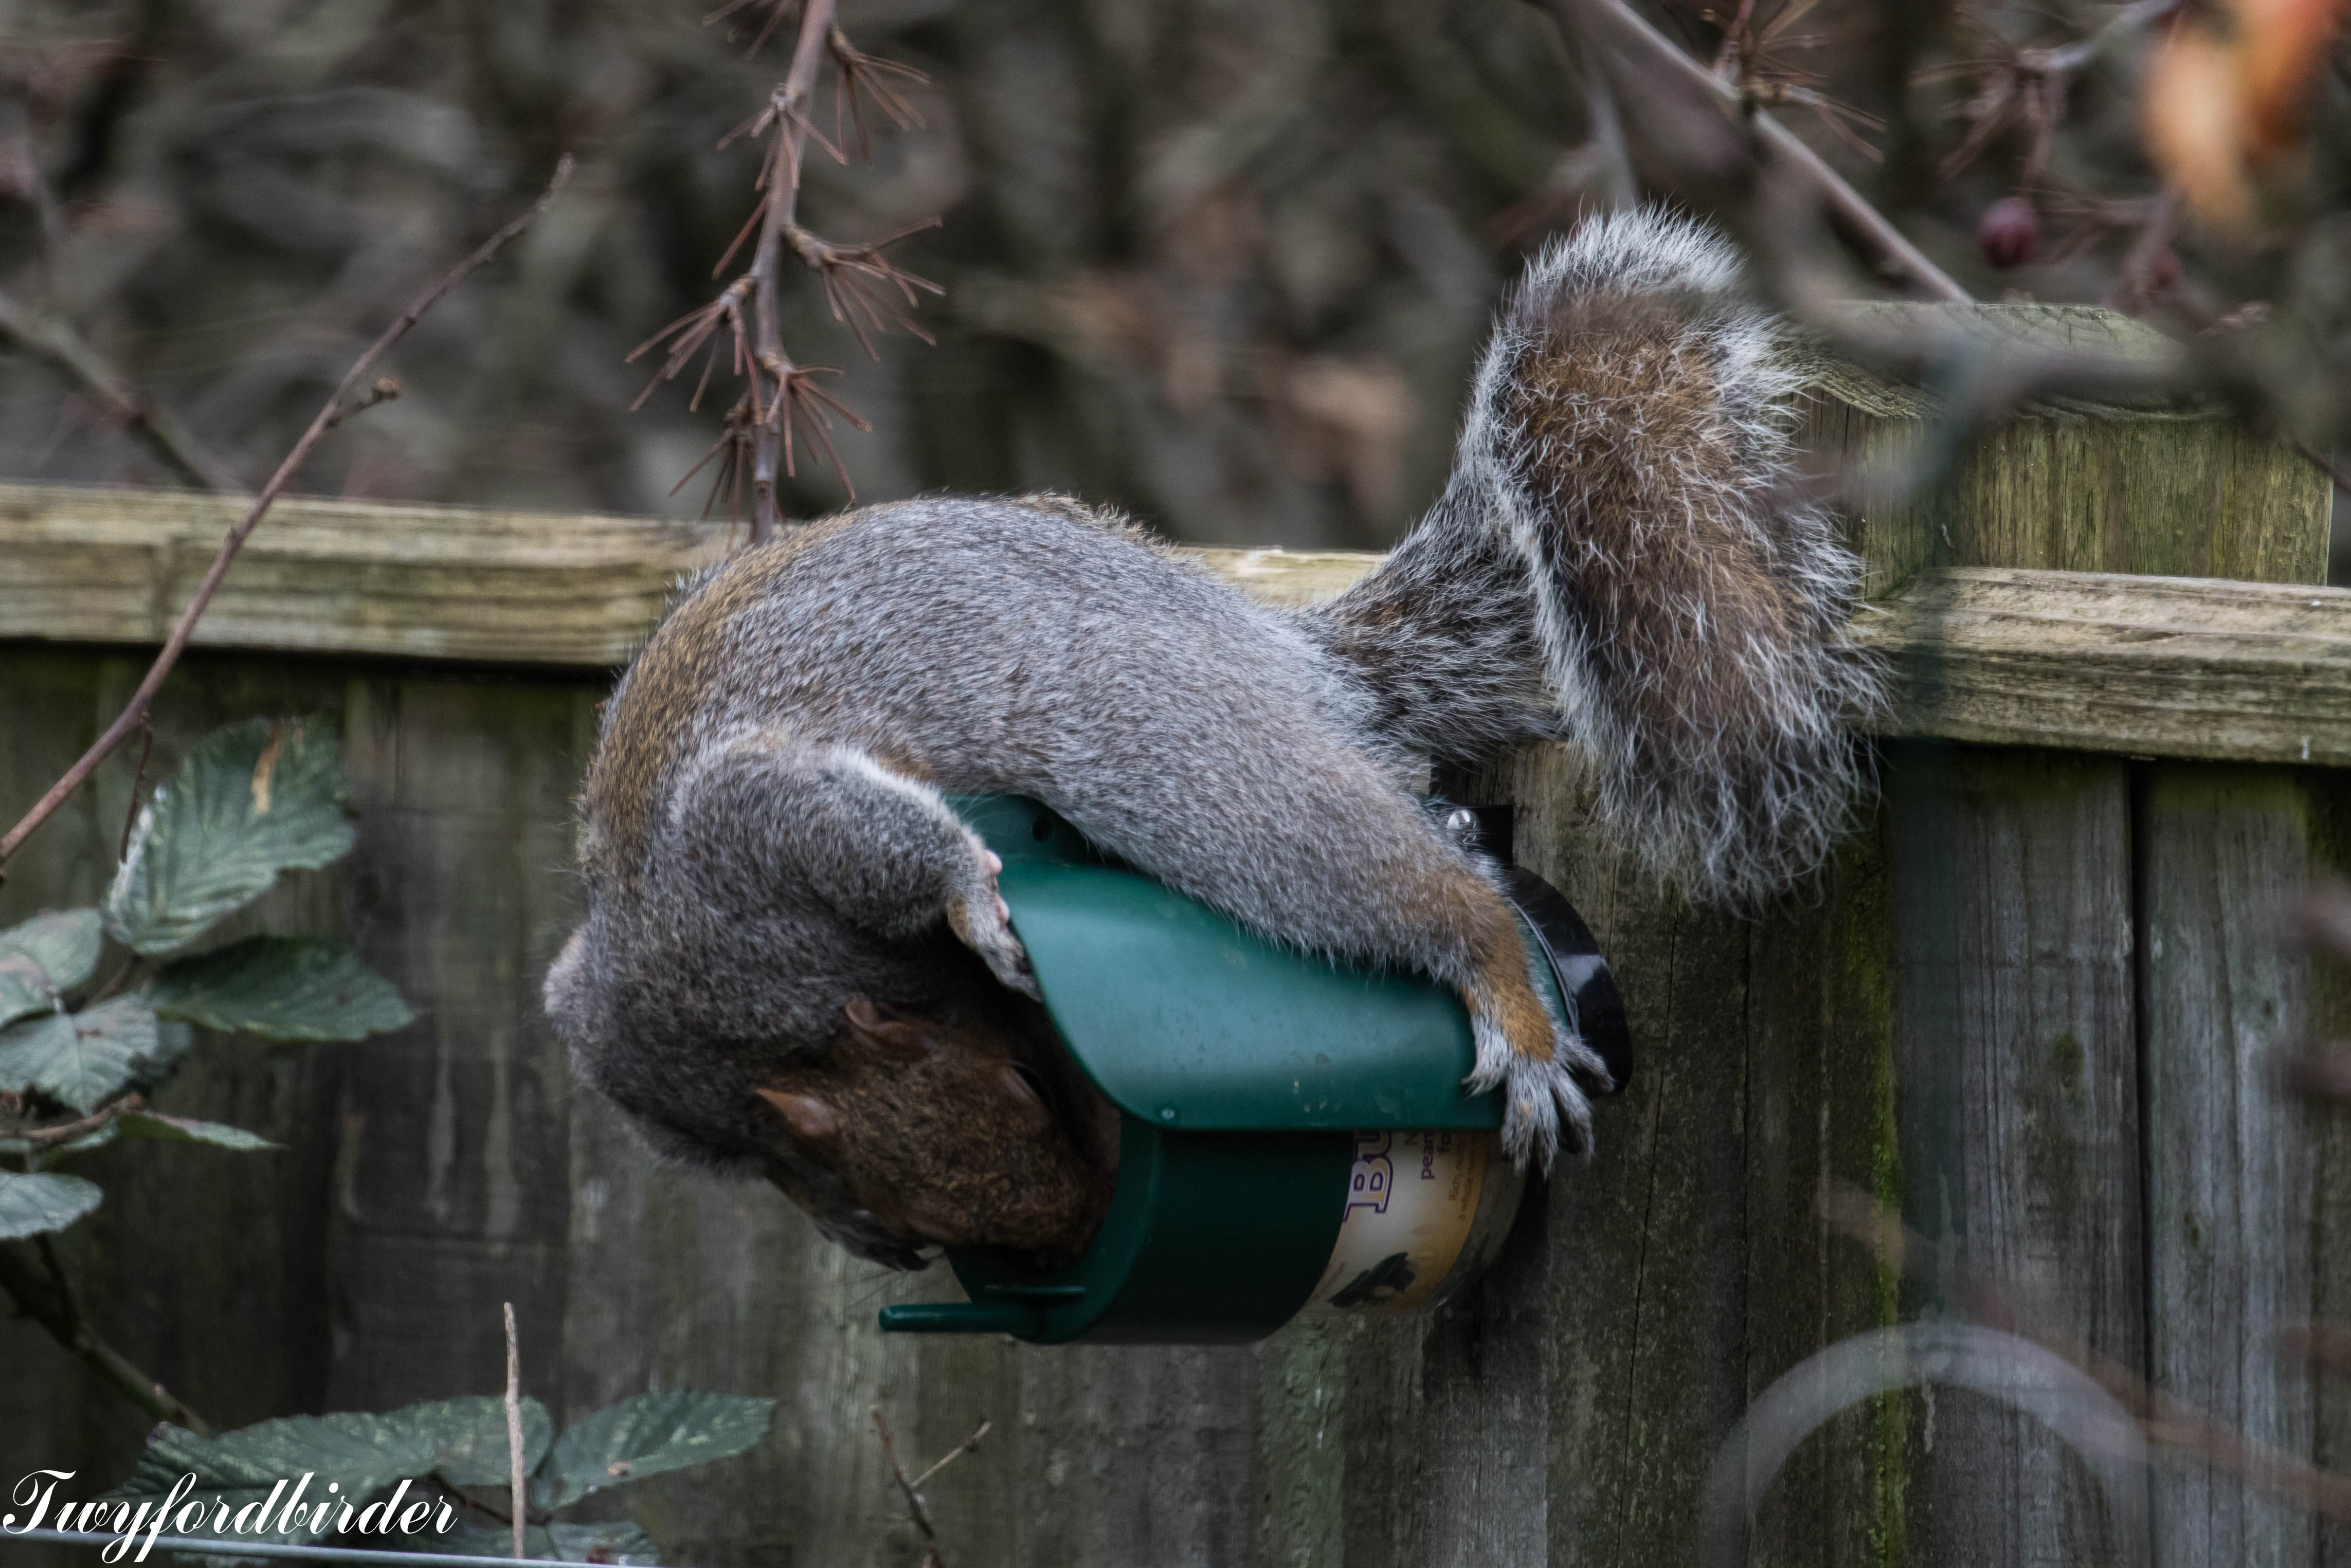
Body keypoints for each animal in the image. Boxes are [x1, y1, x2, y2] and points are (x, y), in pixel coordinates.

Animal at [540, 202, 1880, 1269]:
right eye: (907, 1206)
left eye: (1031, 1078)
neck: (765, 1022)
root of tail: (1285, 656)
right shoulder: (608, 1033)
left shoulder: (747, 836)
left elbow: (864, 830)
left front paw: (972, 900)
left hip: (1167, 744)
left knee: (1389, 874)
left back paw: (1501, 981)